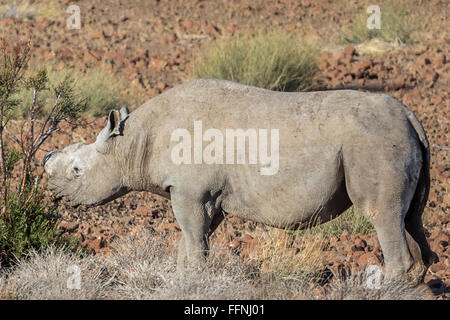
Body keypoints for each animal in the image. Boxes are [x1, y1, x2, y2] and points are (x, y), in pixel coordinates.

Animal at [43, 79, 436, 284]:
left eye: (76, 171)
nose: (52, 188)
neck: (132, 141)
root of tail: (409, 116)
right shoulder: (206, 196)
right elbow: (191, 241)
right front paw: (184, 279)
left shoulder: (190, 192)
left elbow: (193, 241)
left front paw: (194, 281)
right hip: (393, 137)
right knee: (411, 220)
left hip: (373, 142)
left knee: (382, 215)